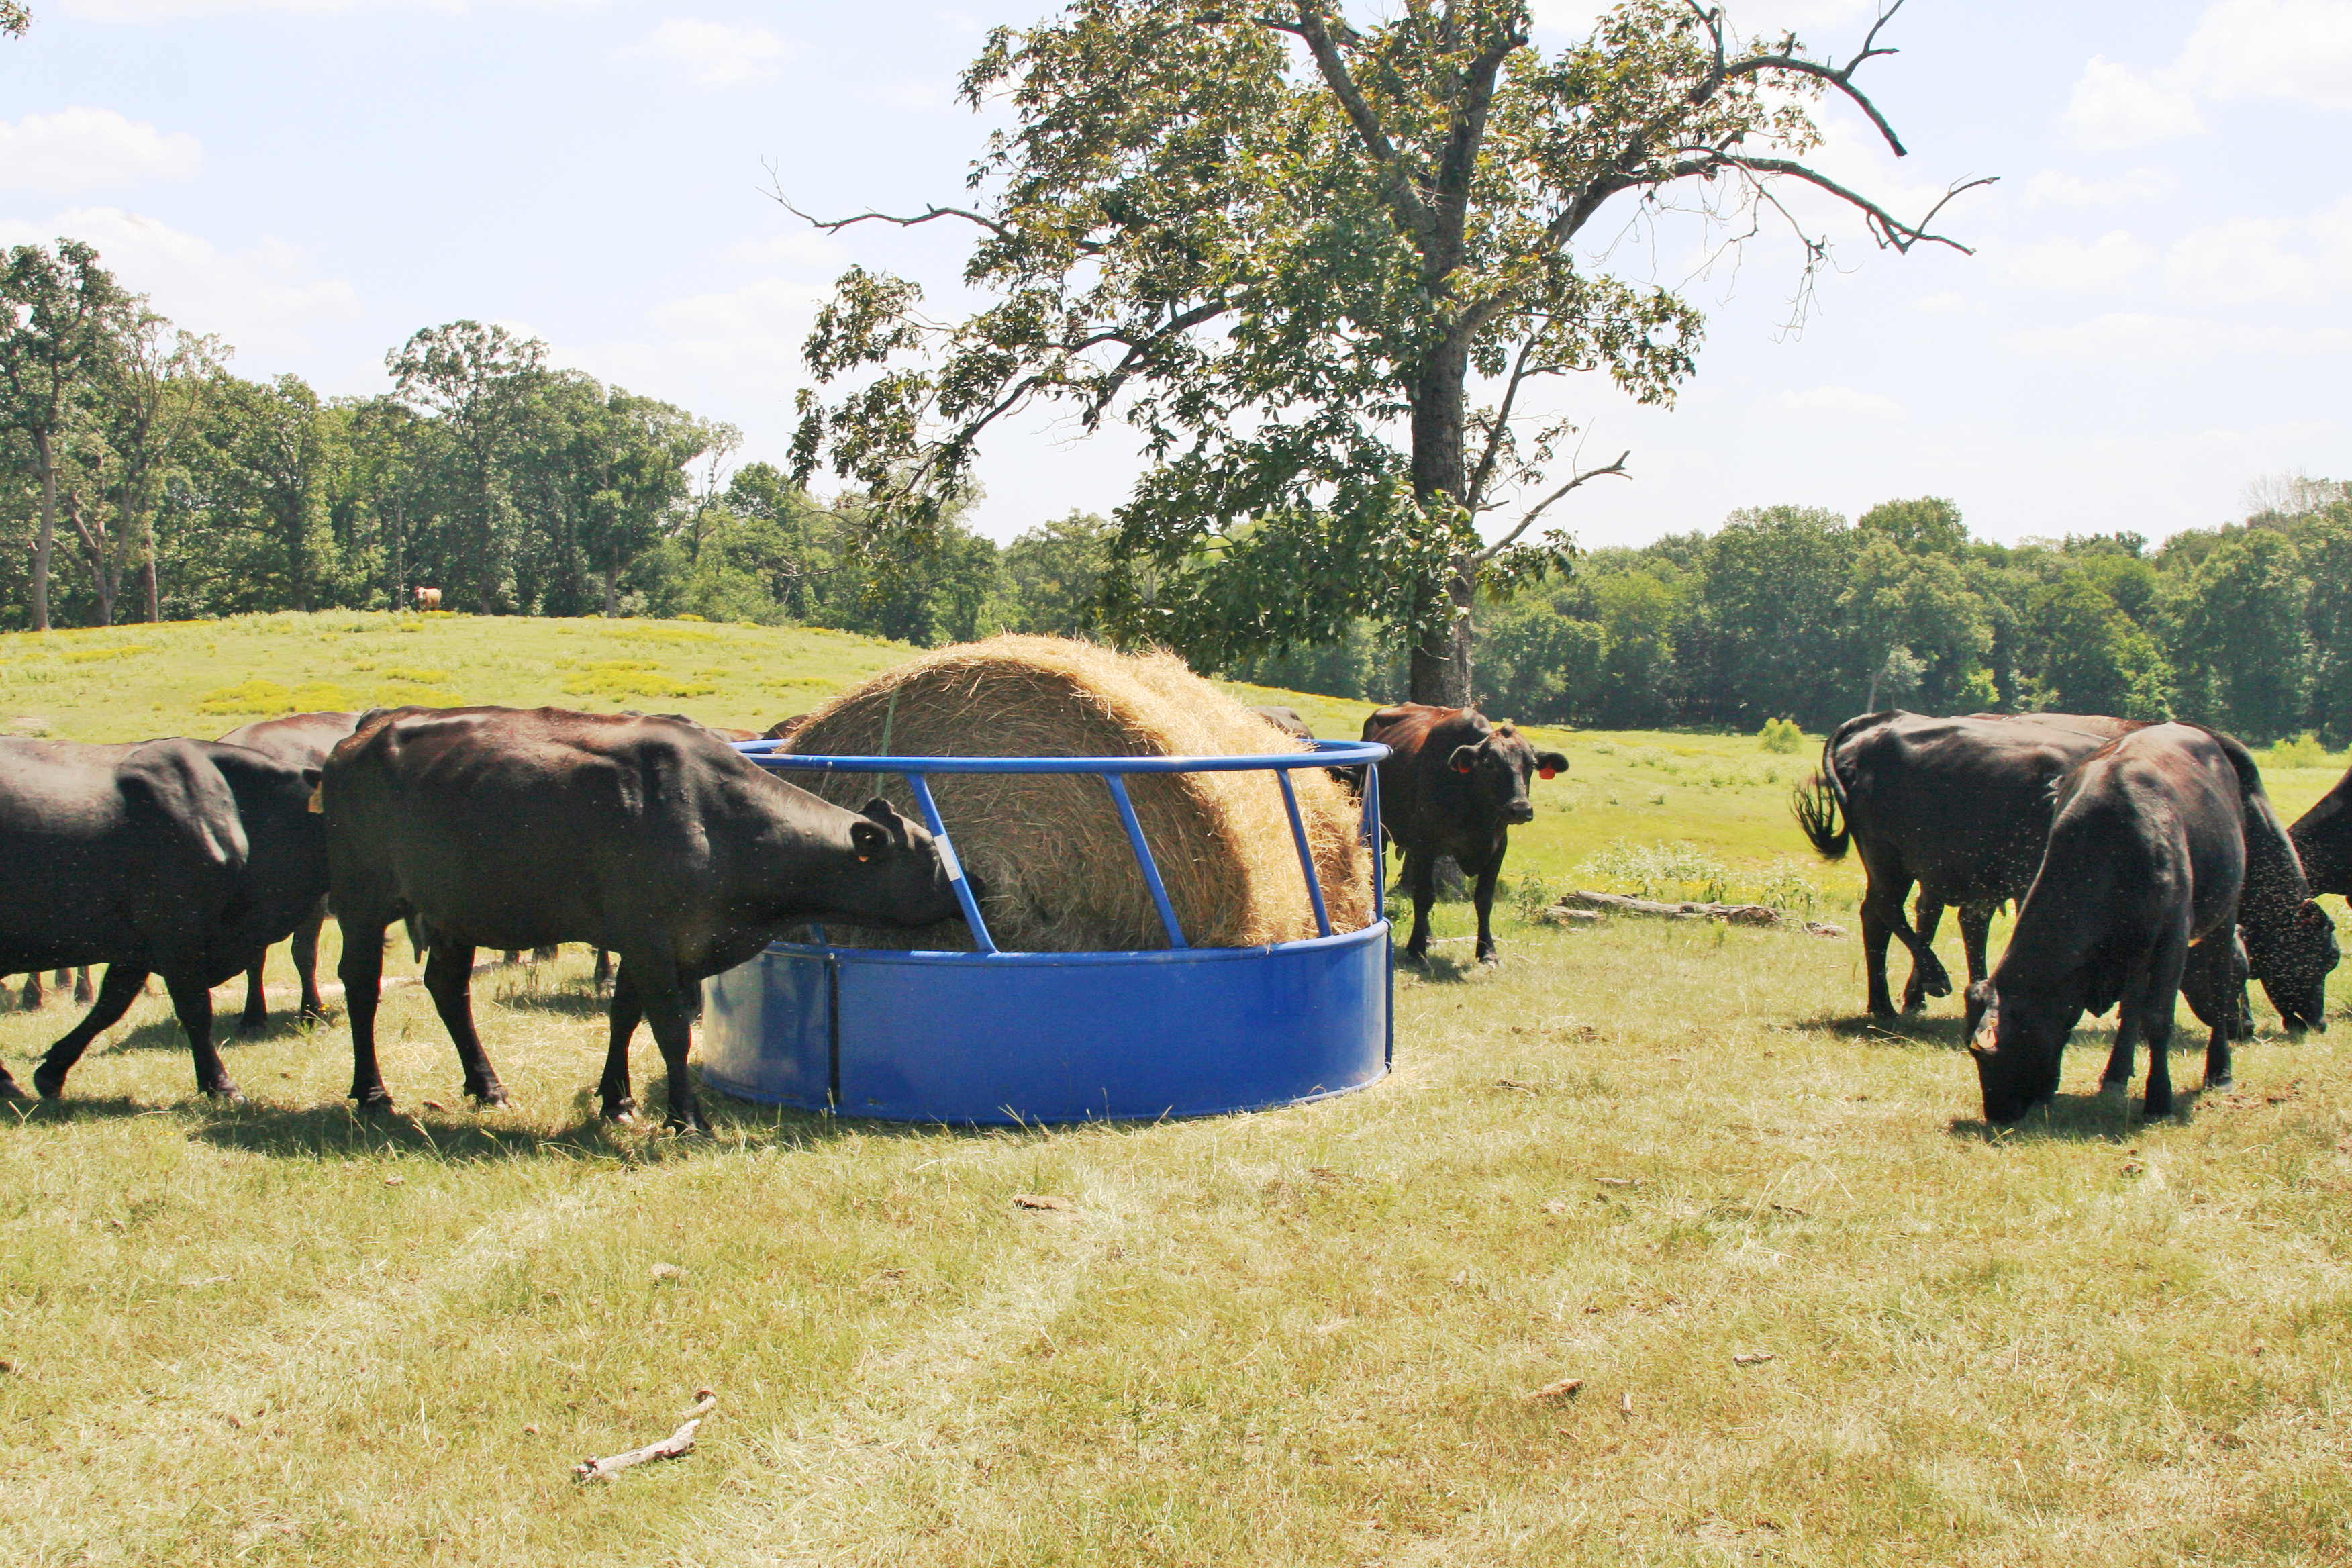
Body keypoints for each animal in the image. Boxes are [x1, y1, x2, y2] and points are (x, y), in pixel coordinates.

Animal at [0, 736, 330, 1103]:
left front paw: (52, 1072)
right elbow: (196, 1009)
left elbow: (110, 1005)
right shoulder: (176, 932)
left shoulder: (138, 947)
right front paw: (219, 1084)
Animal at [321, 706, 972, 1132]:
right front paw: (687, 1118)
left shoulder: (643, 942)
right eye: (929, 856)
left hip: (454, 908)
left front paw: (618, 1100)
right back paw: (373, 1092)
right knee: (360, 985)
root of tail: (368, 730)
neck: (716, 816)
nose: (979, 886)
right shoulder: (651, 936)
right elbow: (671, 1030)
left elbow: (624, 1018)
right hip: (362, 898)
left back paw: (488, 1086)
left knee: (448, 988)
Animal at [1361, 704, 1567, 966]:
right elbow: (1424, 895)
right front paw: (1417, 949)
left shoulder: (1498, 846)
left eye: (1530, 764)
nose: (1520, 808)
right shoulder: (1423, 842)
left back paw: (1429, 936)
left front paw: (1487, 950)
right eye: (1490, 764)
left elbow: (1484, 899)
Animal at [1793, 711, 2138, 1017]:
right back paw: (1929, 983)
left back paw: (1888, 1004)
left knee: (1891, 916)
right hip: (1886, 857)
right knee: (1887, 909)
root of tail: (1879, 719)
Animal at [1963, 723, 2337, 1123]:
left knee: (2218, 989)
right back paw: (2116, 1074)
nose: (1997, 1112)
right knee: (2133, 1005)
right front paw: (2115, 1079)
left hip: (2222, 915)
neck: (2109, 846)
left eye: (1996, 1055)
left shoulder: (2173, 936)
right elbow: (2133, 1010)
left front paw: (2159, 1099)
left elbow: (2158, 1017)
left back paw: (2219, 1071)